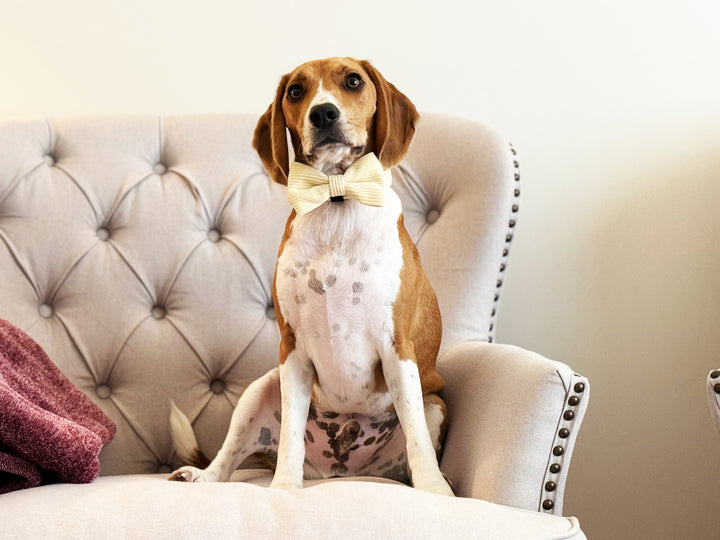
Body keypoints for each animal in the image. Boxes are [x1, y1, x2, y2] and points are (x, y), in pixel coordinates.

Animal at [167, 57, 456, 496]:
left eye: (353, 81)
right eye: (295, 92)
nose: (323, 113)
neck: (335, 197)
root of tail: (341, 473)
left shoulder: (398, 348)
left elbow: (418, 438)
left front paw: (435, 490)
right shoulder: (293, 352)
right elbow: (290, 437)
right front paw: (284, 490)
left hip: (436, 402)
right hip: (261, 387)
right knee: (229, 458)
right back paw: (203, 476)